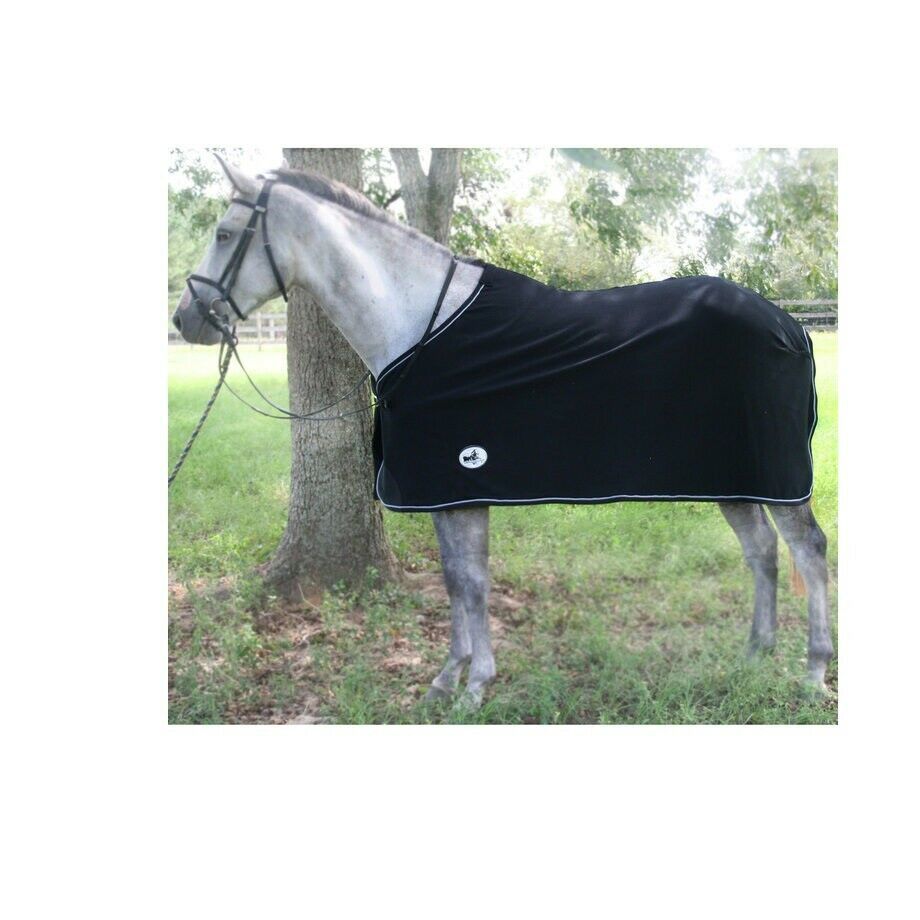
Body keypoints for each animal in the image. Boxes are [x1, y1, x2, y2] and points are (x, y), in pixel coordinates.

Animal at [172, 156, 834, 707]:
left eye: (224, 234)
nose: (185, 319)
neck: (421, 324)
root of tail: (791, 325)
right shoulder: (447, 492)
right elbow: (458, 581)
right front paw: (448, 680)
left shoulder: (459, 484)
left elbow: (471, 584)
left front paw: (473, 688)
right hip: (733, 475)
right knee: (761, 550)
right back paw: (753, 656)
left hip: (778, 478)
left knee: (808, 548)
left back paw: (812, 673)